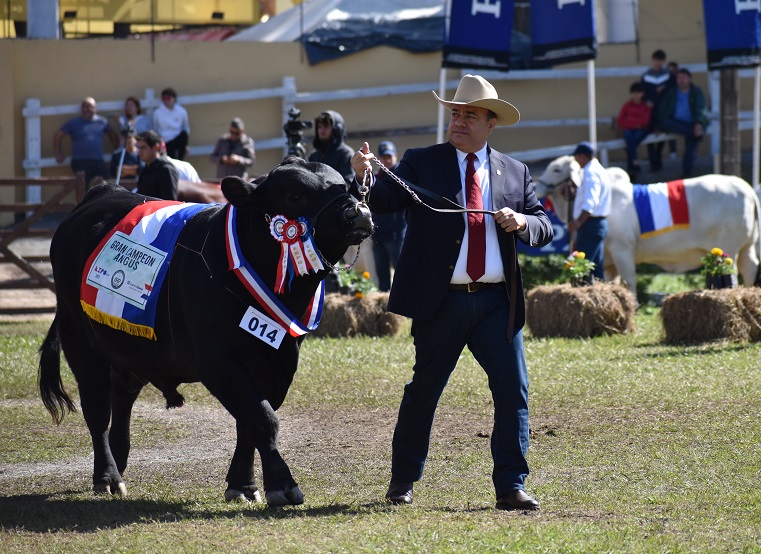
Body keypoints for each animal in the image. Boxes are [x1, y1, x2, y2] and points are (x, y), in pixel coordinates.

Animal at [40, 156, 372, 504]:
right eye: (295, 196)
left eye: (345, 185)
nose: (358, 212)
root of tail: (103, 192)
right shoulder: (218, 362)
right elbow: (263, 419)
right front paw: (282, 484)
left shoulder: (278, 362)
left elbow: (249, 421)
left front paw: (243, 484)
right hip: (80, 340)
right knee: (97, 408)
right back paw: (107, 475)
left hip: (132, 349)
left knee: (122, 398)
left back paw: (118, 461)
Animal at [536, 153, 760, 296]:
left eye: (556, 169)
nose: (537, 186)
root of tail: (746, 187)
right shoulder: (608, 261)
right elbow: (611, 282)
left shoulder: (622, 250)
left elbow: (629, 281)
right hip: (746, 247)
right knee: (750, 268)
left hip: (728, 248)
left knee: (736, 271)